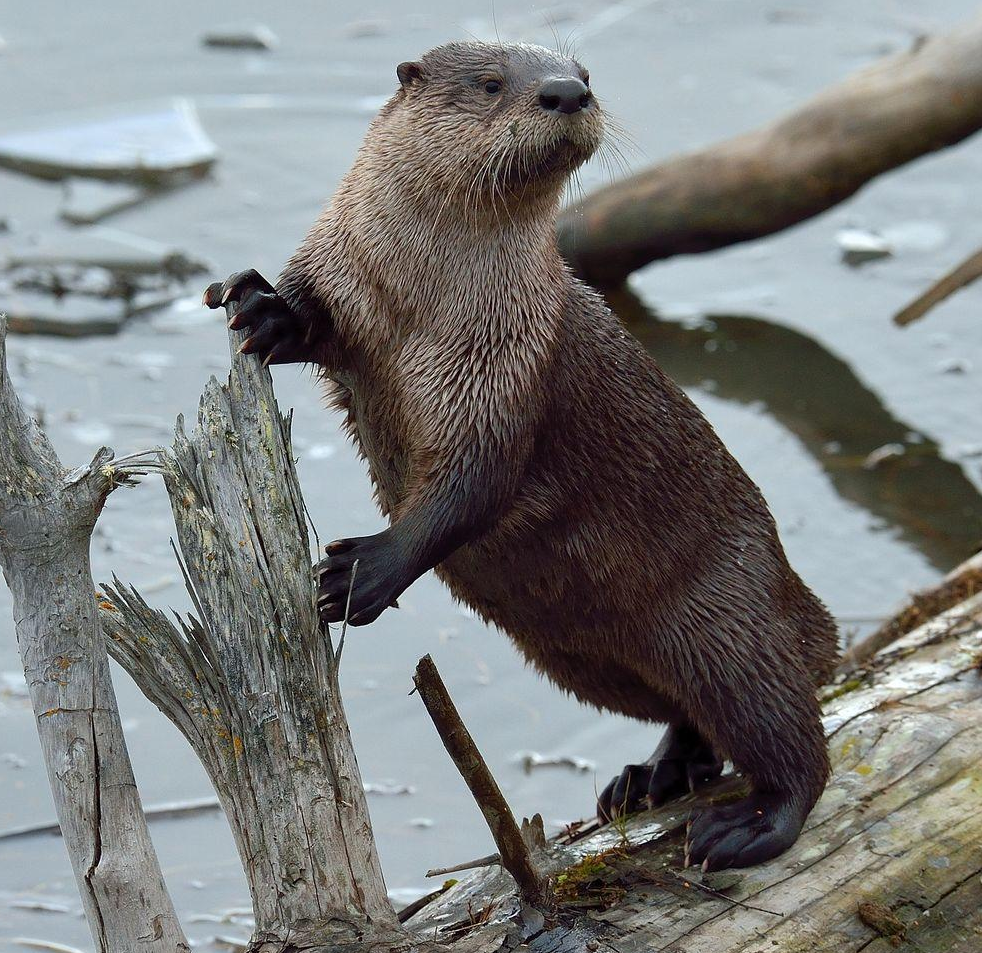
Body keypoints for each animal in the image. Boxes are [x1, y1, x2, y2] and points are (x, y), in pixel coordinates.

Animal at [203, 41, 838, 872]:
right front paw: (261, 307)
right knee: (688, 713)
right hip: (584, 660)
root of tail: (802, 607)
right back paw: (650, 778)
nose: (566, 92)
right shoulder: (346, 274)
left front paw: (362, 570)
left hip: (728, 620)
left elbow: (473, 485)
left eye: (587, 75)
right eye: (491, 84)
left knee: (787, 730)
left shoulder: (504, 371)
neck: (420, 305)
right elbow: (313, 320)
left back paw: (748, 823)